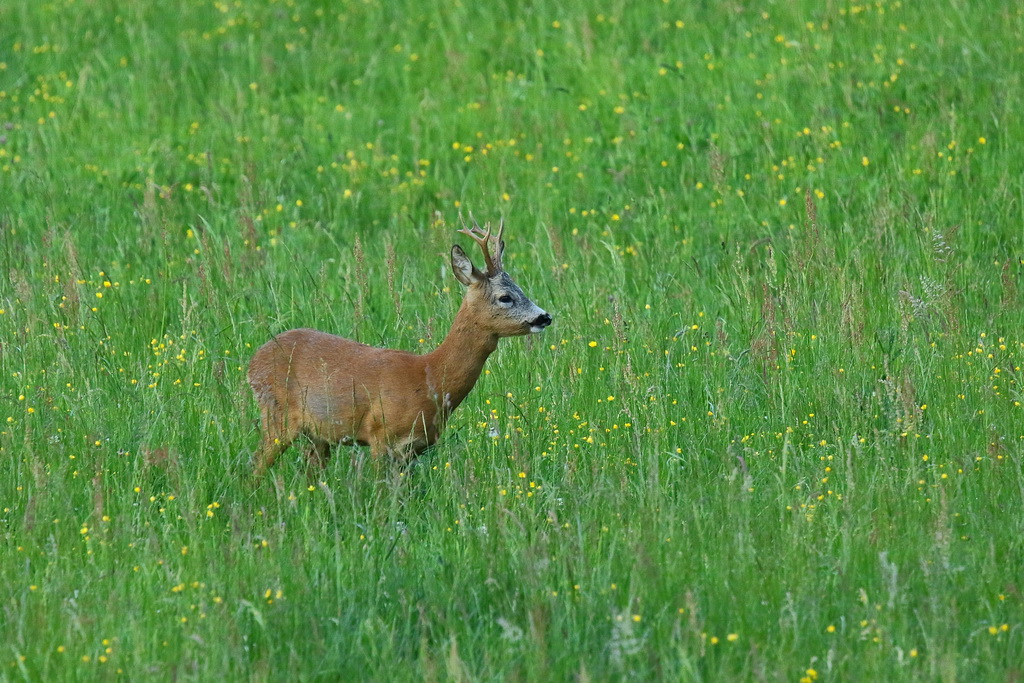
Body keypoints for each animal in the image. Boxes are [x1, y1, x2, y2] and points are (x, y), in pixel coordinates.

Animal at [246, 219, 552, 475]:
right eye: (505, 297)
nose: (544, 317)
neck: (430, 376)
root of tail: (253, 361)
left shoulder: (413, 448)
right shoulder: (380, 435)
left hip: (318, 434)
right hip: (276, 414)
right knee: (256, 466)